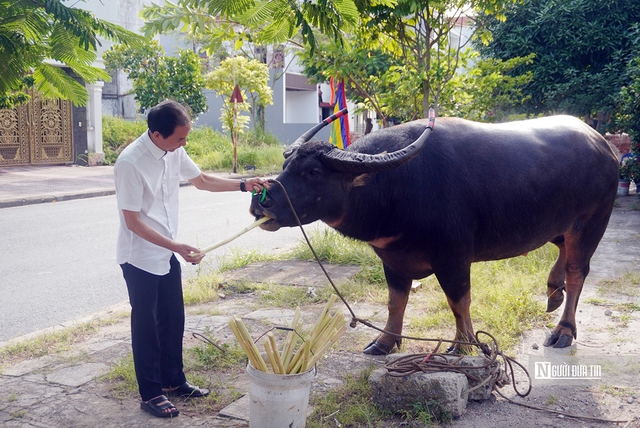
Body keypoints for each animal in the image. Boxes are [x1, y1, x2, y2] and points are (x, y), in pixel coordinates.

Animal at [249, 113, 620, 354]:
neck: (397, 185)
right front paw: (384, 342)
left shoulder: (453, 256)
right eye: (285, 166)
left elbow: (459, 301)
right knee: (562, 253)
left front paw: (464, 344)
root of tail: (605, 146)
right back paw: (552, 290)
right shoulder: (392, 259)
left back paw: (563, 330)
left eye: (313, 172)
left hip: (590, 224)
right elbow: (395, 302)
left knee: (577, 271)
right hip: (559, 225)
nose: (260, 200)